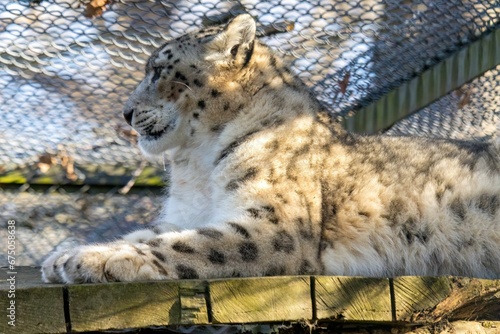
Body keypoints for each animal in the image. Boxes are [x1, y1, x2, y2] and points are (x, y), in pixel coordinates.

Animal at [42, 14, 500, 284]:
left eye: (158, 70)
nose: (125, 112)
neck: (196, 167)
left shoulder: (274, 223)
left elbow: (186, 244)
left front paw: (94, 260)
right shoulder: (188, 214)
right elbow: (153, 233)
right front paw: (62, 255)